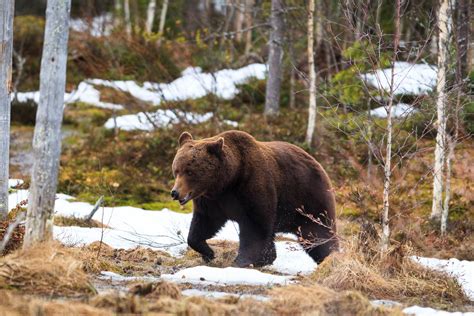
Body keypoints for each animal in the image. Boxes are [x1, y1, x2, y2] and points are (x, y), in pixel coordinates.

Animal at [170, 130, 336, 266]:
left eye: (189, 171)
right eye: (176, 170)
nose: (175, 192)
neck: (227, 181)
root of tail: (317, 163)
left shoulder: (252, 185)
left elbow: (255, 226)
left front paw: (243, 261)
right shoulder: (213, 200)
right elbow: (203, 224)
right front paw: (209, 253)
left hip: (309, 198)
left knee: (317, 233)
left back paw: (329, 257)